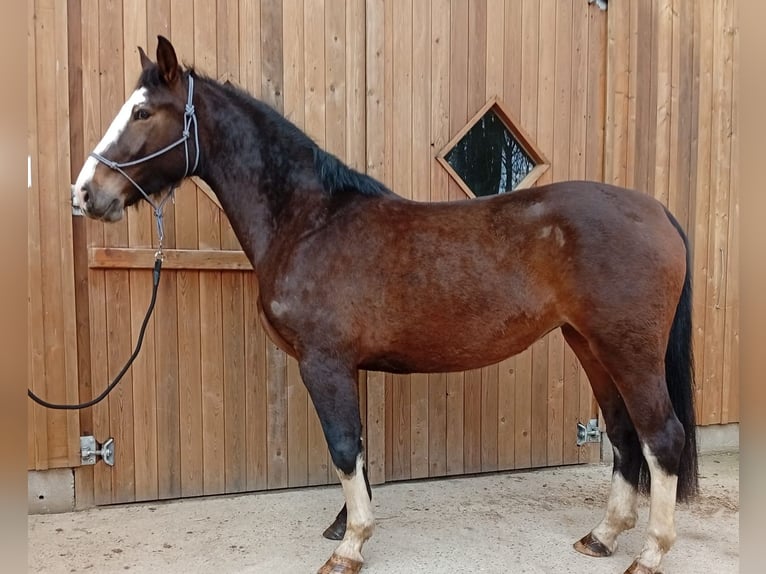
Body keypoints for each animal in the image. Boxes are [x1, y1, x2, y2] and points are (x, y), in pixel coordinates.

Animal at [73, 36, 698, 574]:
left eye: (142, 113)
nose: (85, 194)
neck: (309, 221)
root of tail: (657, 211)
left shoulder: (323, 363)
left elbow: (343, 446)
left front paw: (349, 546)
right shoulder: (346, 366)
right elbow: (357, 447)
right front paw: (344, 526)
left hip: (628, 350)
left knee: (661, 437)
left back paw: (650, 554)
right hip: (590, 346)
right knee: (623, 434)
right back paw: (603, 536)